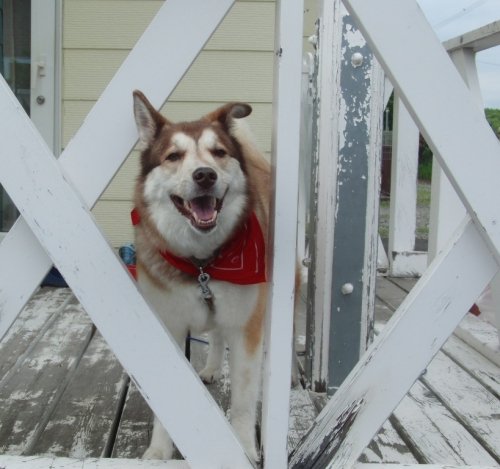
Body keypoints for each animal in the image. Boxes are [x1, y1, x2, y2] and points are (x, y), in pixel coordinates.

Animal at [130, 89, 270, 462]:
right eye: (173, 156)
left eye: (219, 152)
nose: (205, 175)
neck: (203, 265)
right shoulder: (169, 325)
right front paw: (160, 450)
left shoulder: (246, 327)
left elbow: (243, 402)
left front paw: (245, 448)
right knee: (217, 336)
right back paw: (209, 369)